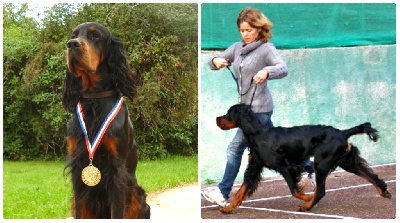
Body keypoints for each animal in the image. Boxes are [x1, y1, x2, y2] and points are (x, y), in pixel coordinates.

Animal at [216, 103, 390, 213]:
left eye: (229, 113)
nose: (217, 119)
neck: (257, 133)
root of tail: (342, 132)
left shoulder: (286, 167)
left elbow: (294, 190)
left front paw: (306, 197)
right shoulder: (254, 167)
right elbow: (241, 189)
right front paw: (228, 208)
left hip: (322, 164)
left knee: (321, 191)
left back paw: (307, 206)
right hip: (346, 161)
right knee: (370, 175)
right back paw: (383, 191)